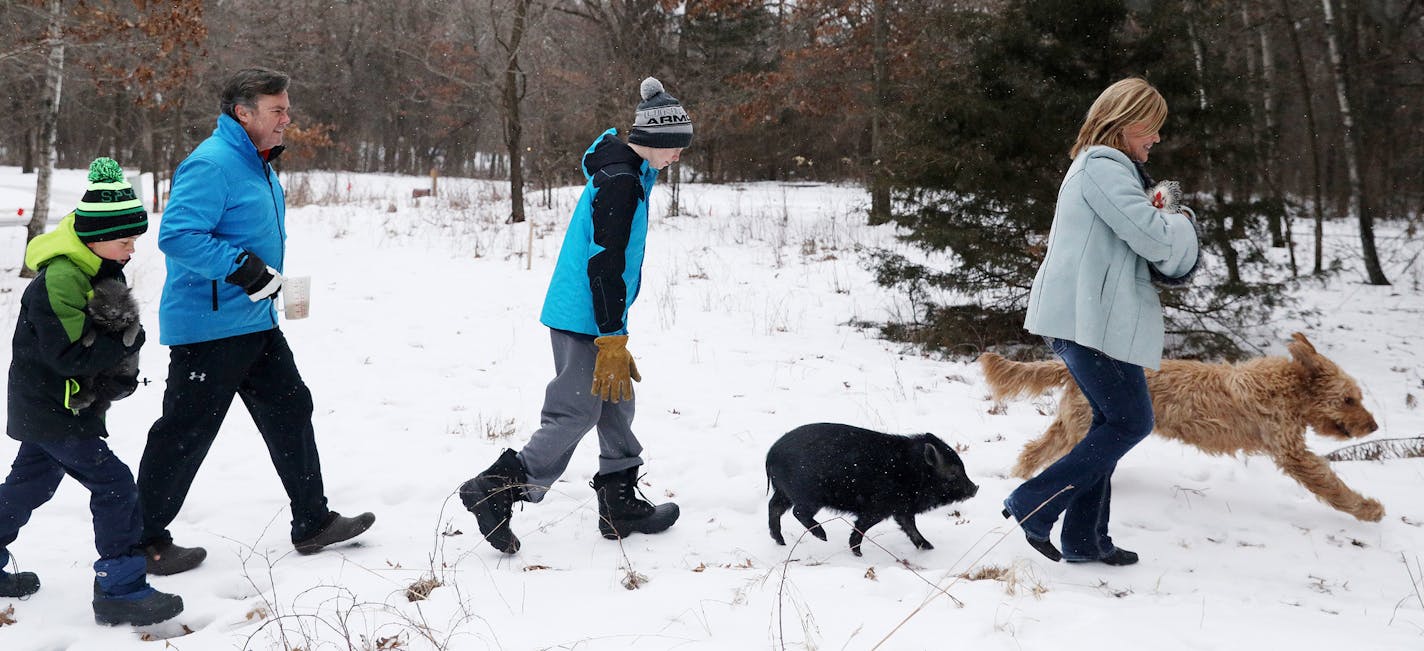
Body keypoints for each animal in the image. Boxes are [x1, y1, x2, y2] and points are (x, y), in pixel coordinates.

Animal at [768, 424, 979, 555]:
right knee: (797, 512)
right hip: (809, 496)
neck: (911, 471)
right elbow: (862, 526)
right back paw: (823, 536)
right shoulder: (879, 507)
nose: (975, 488)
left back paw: (780, 541)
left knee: (774, 507)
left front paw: (929, 547)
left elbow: (911, 527)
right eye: (953, 473)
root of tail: (770, 454)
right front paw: (858, 554)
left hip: (783, 492)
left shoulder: (901, 509)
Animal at [979, 334, 1378, 521]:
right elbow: (1329, 484)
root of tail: (1069, 368)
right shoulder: (1291, 451)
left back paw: (1018, 476)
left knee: (1036, 450)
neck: (1288, 386)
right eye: (1348, 399)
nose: (1374, 426)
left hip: (1071, 425)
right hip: (1084, 429)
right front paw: (1368, 508)